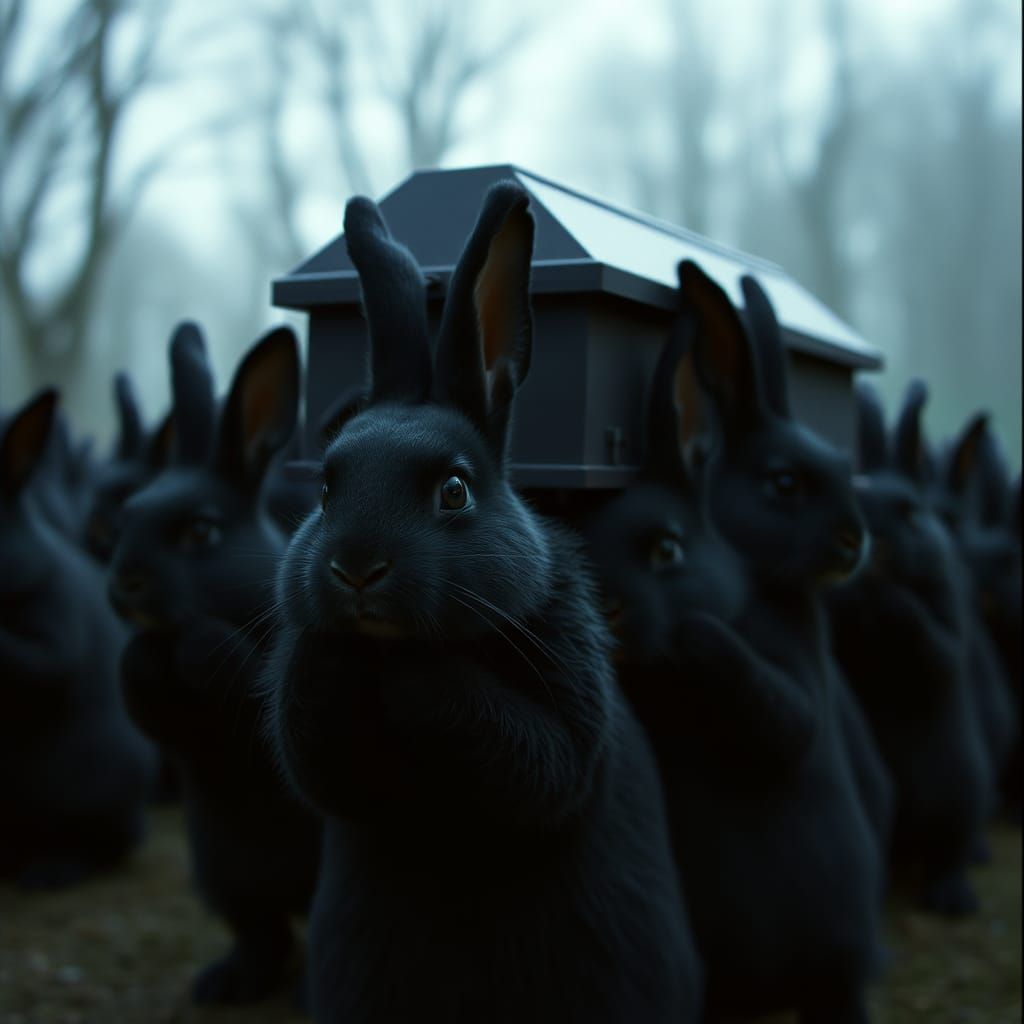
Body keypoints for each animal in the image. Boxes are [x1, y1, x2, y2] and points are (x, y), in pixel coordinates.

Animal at [108, 322, 322, 1006]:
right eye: (126, 518)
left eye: (202, 533)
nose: (125, 584)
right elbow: (144, 691)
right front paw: (144, 654)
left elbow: (236, 673)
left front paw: (195, 644)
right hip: (224, 874)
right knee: (263, 933)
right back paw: (224, 984)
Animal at [262, 181, 702, 1024]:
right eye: (326, 488)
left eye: (456, 490)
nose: (356, 568)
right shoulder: (328, 767)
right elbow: (319, 761)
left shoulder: (564, 724)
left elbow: (534, 758)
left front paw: (409, 676)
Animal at [671, 259, 885, 1023]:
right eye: (785, 482)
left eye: (845, 467)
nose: (856, 538)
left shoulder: (794, 684)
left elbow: (785, 718)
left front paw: (691, 634)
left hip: (837, 969)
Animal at [828, 379, 991, 914]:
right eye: (852, 493)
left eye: (913, 511)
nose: (871, 540)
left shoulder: (944, 622)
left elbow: (930, 640)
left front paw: (886, 597)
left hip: (961, 792)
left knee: (949, 851)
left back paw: (952, 900)